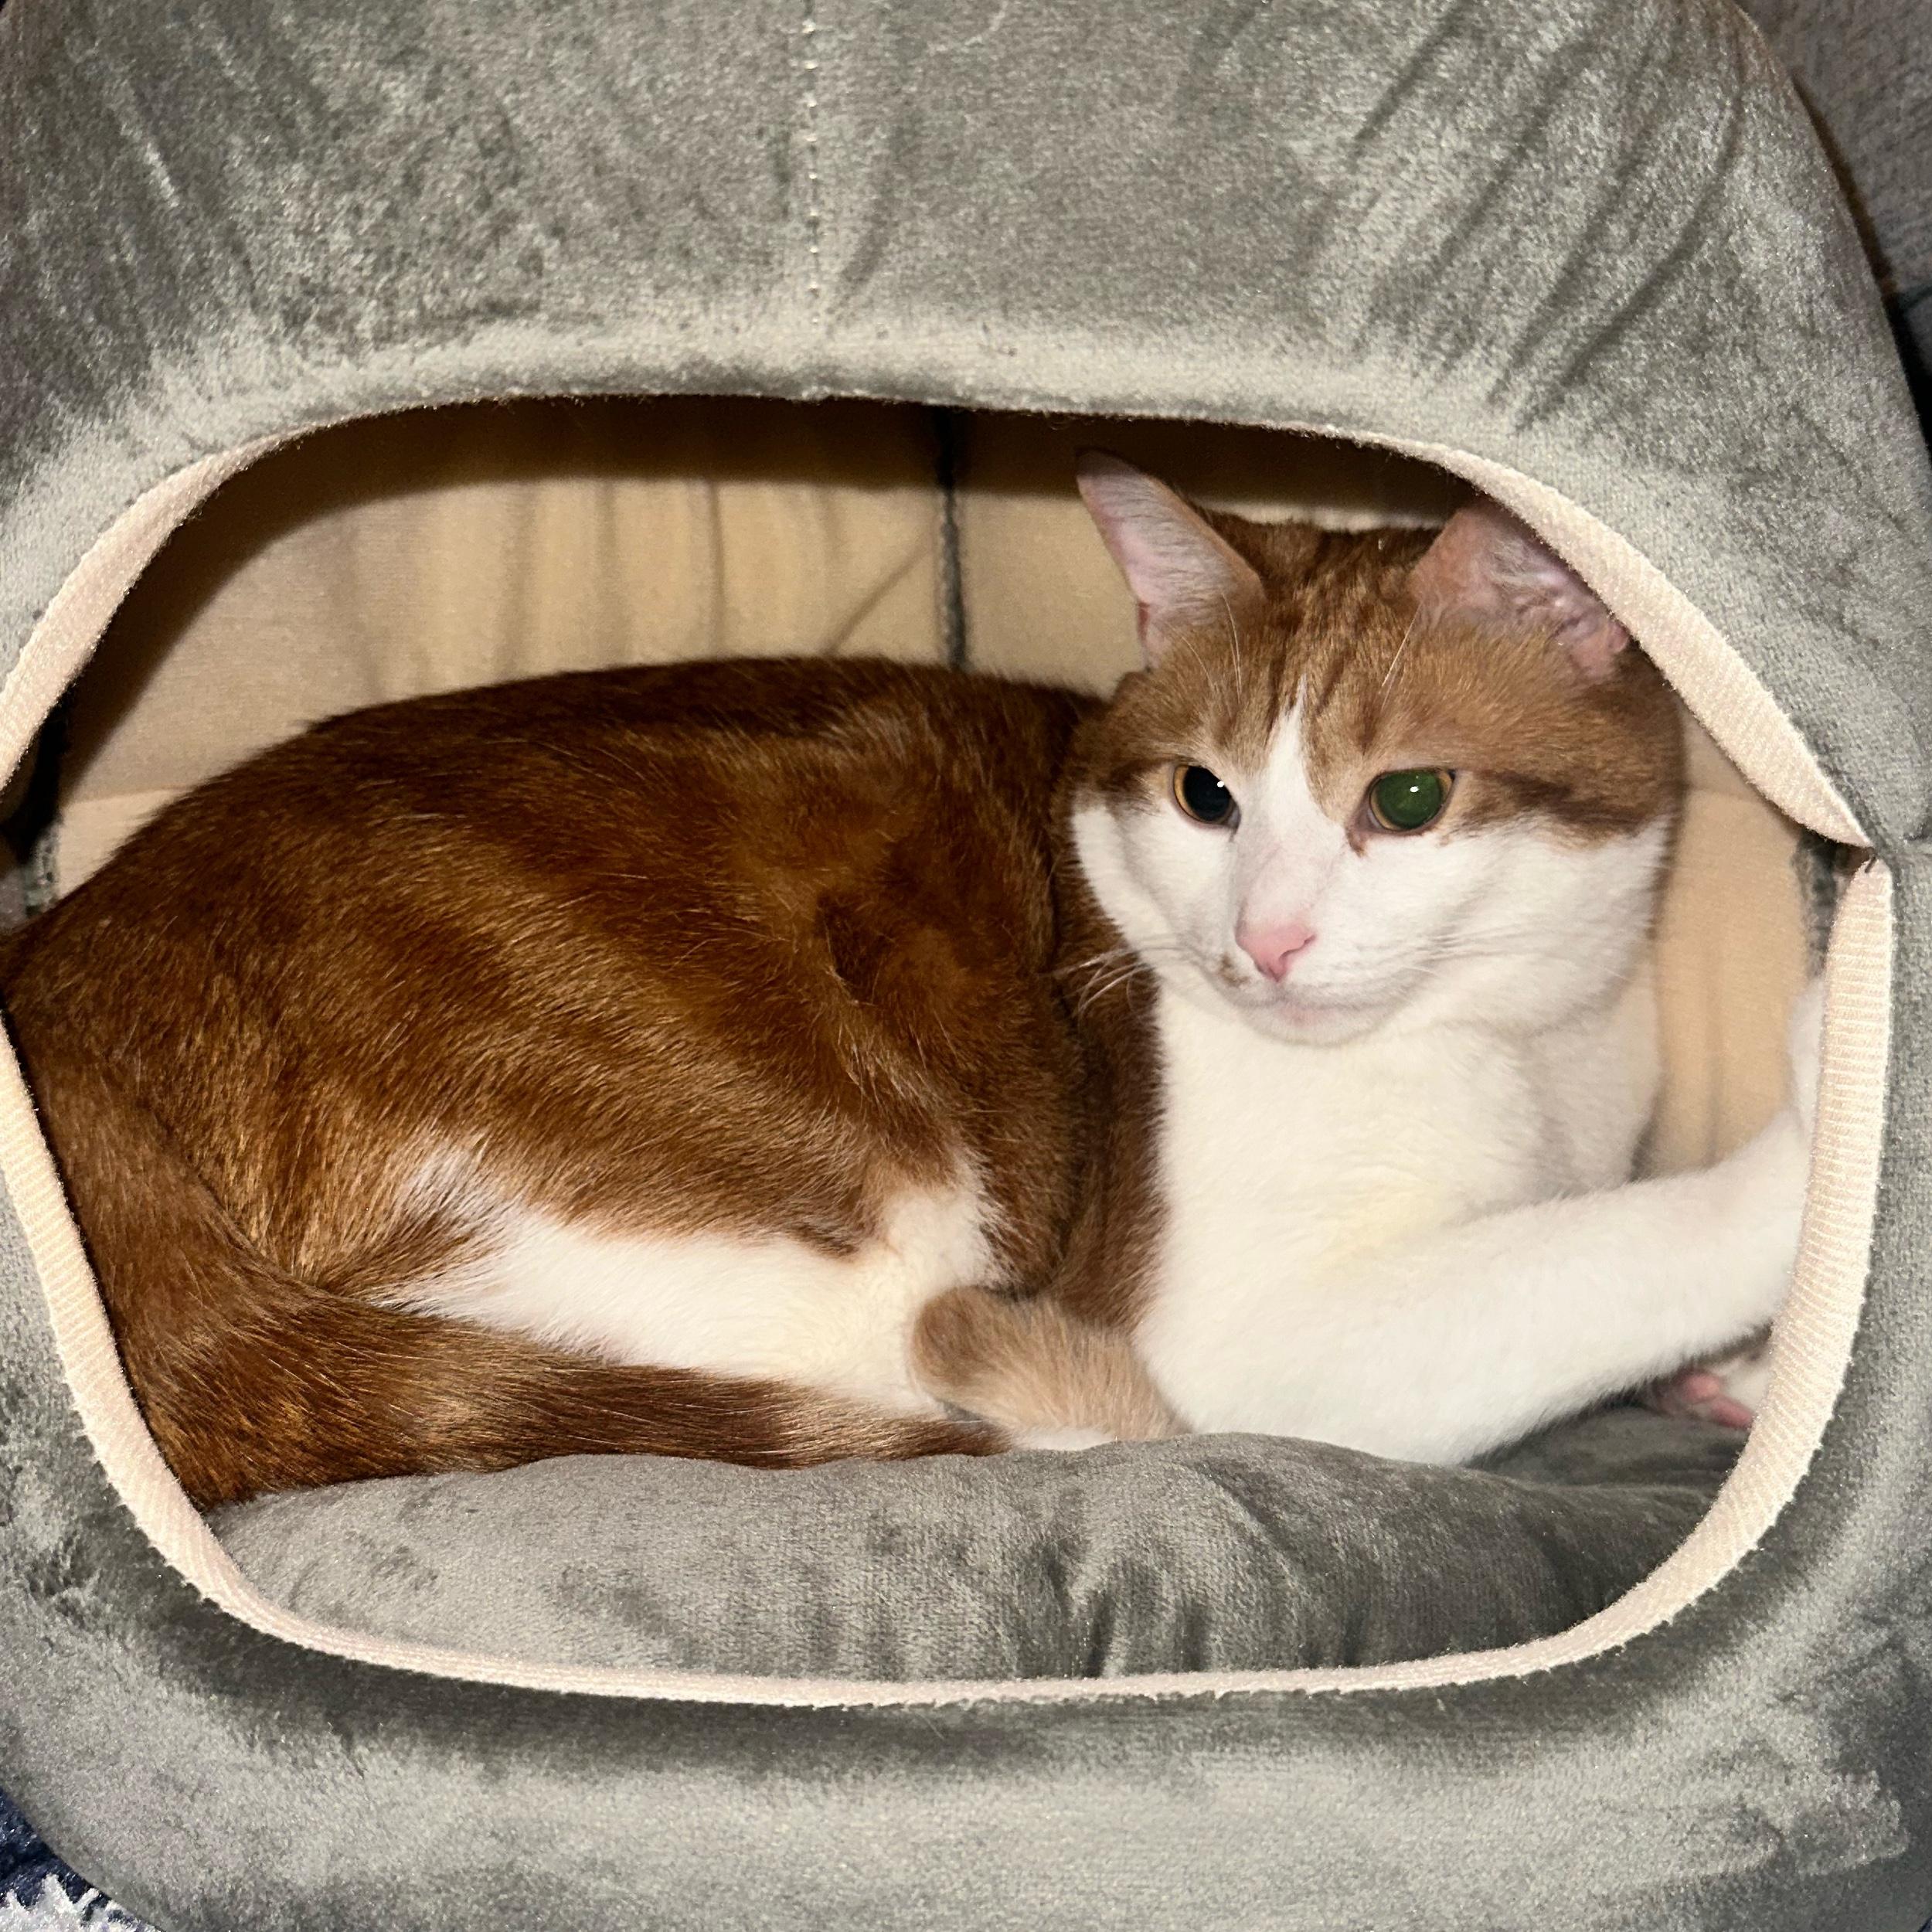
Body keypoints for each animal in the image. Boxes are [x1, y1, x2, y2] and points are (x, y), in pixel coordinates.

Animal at [0, 457, 1818, 1507]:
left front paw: (1736, 1372)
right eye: (1204, 796)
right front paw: (1813, 1148)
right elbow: (1598, 1256)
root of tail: (75, 991)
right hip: (840, 1213)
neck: (1514, 1041)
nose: (1267, 942)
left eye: (1410, 800)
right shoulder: (1260, 1334)